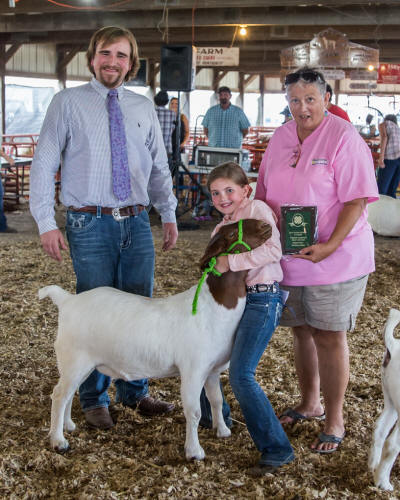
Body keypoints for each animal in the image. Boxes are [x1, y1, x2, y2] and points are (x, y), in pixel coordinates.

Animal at [39, 219, 272, 461]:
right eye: (232, 233)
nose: (265, 224)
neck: (213, 306)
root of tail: (67, 301)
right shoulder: (193, 369)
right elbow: (194, 411)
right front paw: (194, 451)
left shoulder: (212, 370)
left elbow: (216, 400)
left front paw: (223, 430)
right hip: (73, 358)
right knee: (59, 395)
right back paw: (58, 440)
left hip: (79, 363)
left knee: (69, 393)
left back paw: (68, 425)